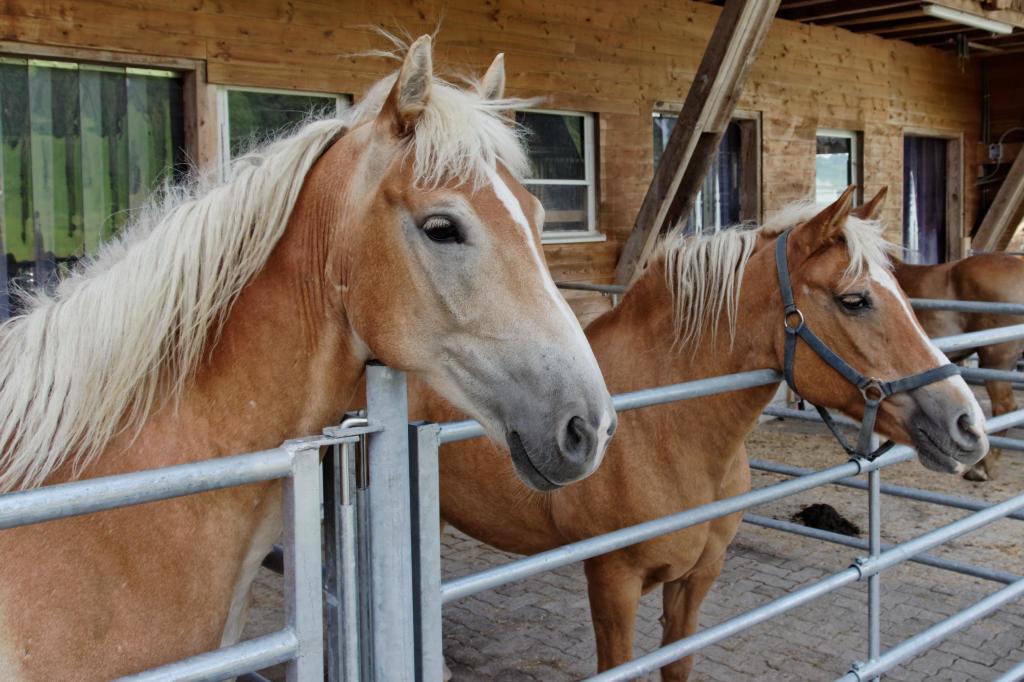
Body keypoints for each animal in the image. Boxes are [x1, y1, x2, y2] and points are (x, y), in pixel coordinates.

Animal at [411, 184, 987, 675]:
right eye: (854, 300)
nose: (969, 425)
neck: (663, 430)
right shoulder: (613, 581)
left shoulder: (698, 576)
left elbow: (678, 661)